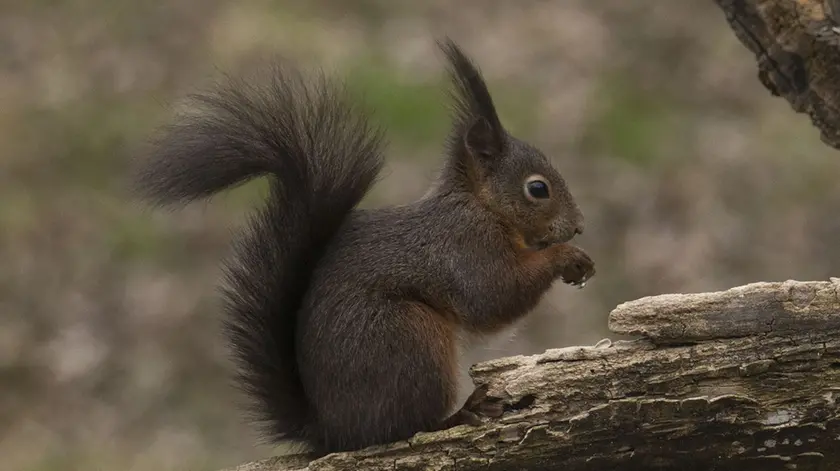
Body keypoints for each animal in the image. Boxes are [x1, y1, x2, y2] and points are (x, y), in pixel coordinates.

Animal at [131, 38, 592, 456]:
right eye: (538, 189)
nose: (579, 227)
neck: (480, 204)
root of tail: (333, 431)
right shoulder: (465, 245)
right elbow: (494, 296)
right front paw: (566, 258)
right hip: (408, 338)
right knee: (407, 426)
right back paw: (462, 413)